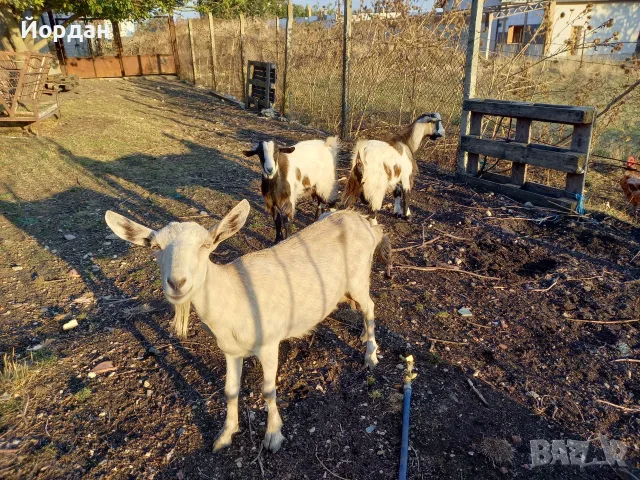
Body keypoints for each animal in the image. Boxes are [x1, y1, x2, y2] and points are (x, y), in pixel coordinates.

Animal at [104, 200, 391, 453]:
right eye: (155, 246)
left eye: (206, 245)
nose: (176, 283)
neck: (236, 297)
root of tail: (366, 223)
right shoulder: (231, 350)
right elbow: (230, 391)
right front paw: (225, 435)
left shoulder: (269, 344)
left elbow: (268, 391)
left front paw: (273, 436)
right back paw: (364, 336)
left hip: (358, 278)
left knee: (371, 306)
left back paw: (371, 355)